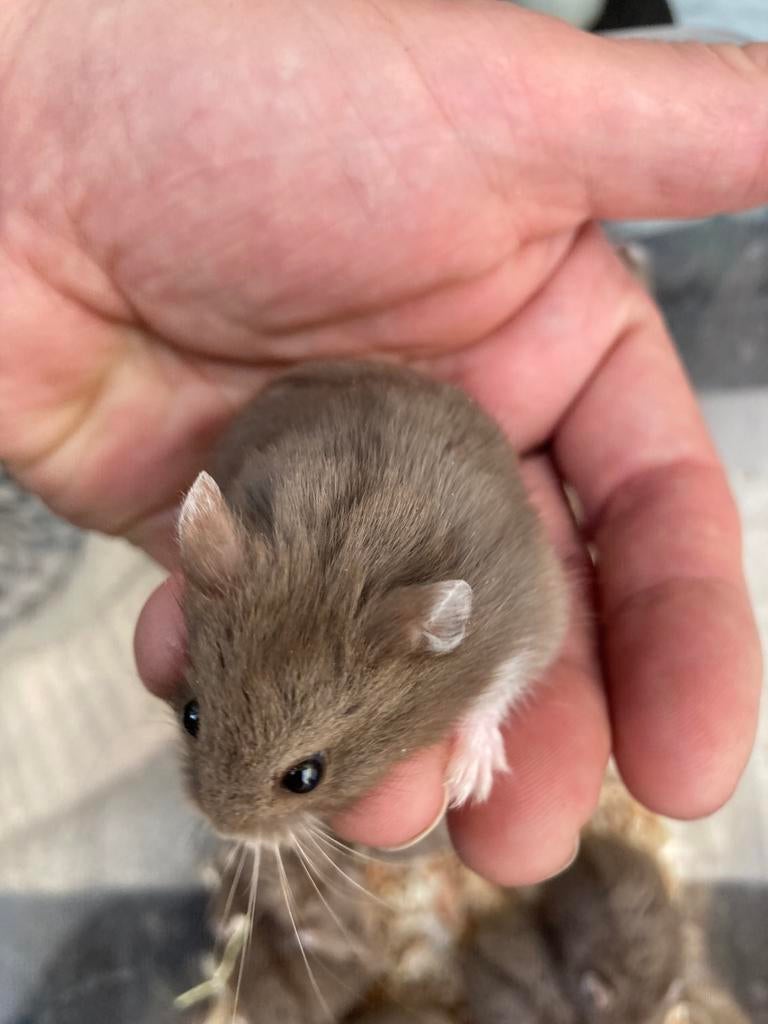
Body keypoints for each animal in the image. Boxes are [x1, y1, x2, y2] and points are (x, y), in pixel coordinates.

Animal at [173, 360, 566, 842]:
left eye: (305, 777)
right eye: (191, 716)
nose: (223, 829)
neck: (339, 566)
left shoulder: (528, 617)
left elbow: (499, 688)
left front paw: (467, 785)